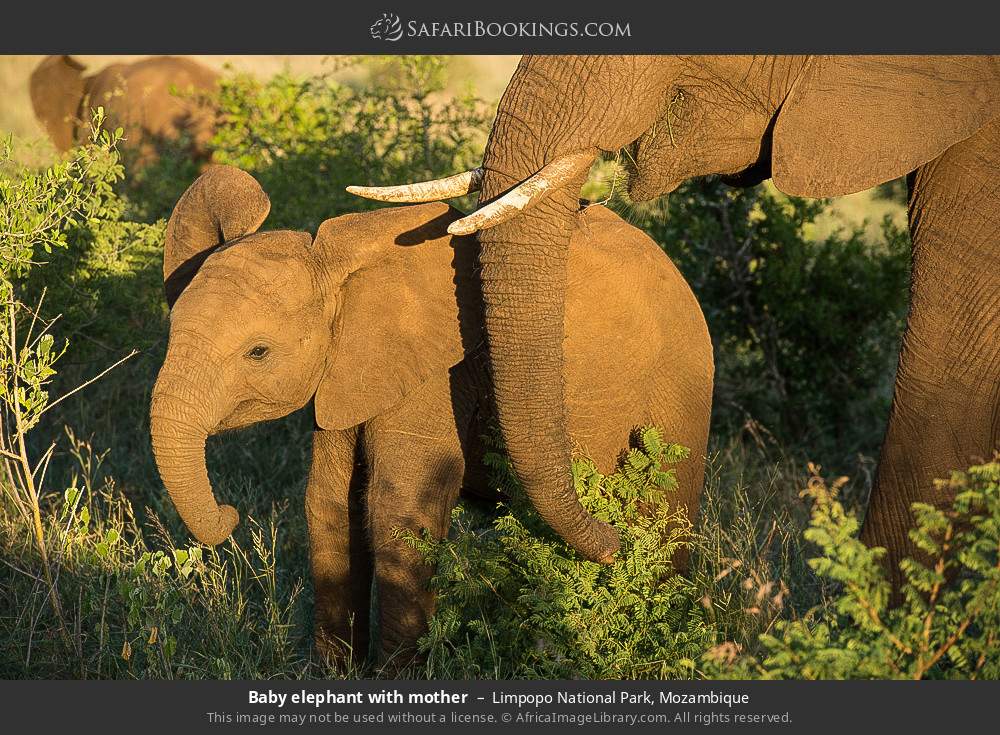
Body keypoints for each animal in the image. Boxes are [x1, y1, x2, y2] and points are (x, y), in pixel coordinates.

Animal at [150, 165, 713, 661]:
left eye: (258, 352)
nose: (229, 514)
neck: (337, 266)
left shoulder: (439, 373)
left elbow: (401, 510)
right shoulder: (343, 372)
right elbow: (330, 503)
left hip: (679, 390)